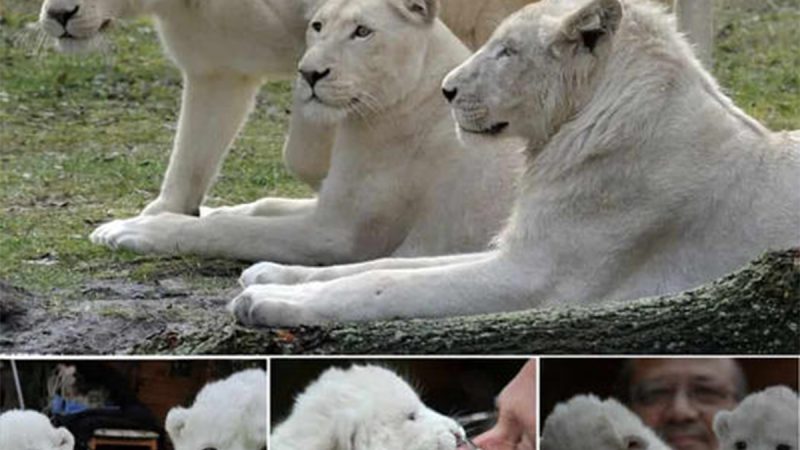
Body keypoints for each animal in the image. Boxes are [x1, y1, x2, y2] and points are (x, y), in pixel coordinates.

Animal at [89, 0, 524, 268]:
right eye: (317, 26)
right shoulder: (329, 206)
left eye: (362, 31)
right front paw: (205, 208)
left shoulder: (337, 234)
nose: (310, 73)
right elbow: (264, 205)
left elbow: (231, 231)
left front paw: (132, 230)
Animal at [230, 0, 800, 326]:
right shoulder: (515, 248)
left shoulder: (537, 276)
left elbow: (389, 284)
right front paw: (270, 276)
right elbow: (383, 264)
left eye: (507, 51)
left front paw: (271, 303)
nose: (446, 90)